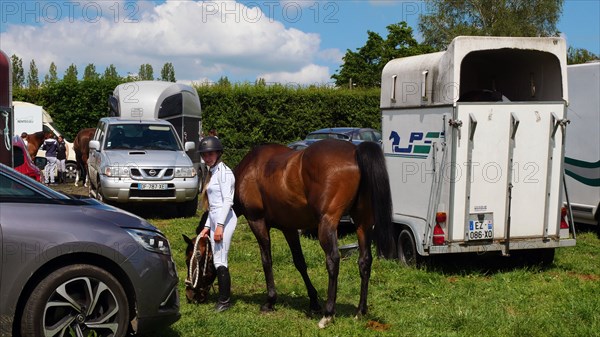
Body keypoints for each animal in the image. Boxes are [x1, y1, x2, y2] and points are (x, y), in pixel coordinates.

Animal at [233, 138, 394, 326]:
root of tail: (355, 150)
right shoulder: (289, 228)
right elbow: (300, 262)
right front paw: (313, 302)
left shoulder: (256, 221)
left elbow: (267, 261)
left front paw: (270, 301)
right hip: (363, 223)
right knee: (365, 260)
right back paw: (360, 311)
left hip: (327, 224)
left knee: (333, 260)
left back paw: (328, 313)